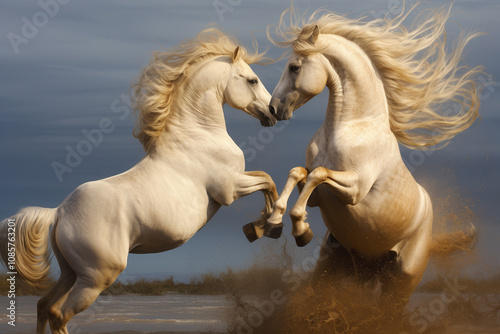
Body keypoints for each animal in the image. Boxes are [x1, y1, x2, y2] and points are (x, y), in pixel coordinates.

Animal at [0, 28, 278, 334]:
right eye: (252, 79)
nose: (274, 112)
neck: (199, 134)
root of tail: (59, 212)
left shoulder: (236, 183)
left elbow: (267, 180)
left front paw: (260, 227)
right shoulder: (229, 190)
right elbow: (269, 182)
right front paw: (269, 226)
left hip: (70, 273)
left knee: (43, 306)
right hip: (96, 279)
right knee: (58, 314)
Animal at [262, 4, 480, 306]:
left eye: (295, 67)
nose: (273, 109)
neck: (351, 126)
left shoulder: (355, 190)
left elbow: (318, 174)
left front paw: (300, 231)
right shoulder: (319, 197)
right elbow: (299, 173)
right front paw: (275, 223)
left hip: (401, 282)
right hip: (340, 267)